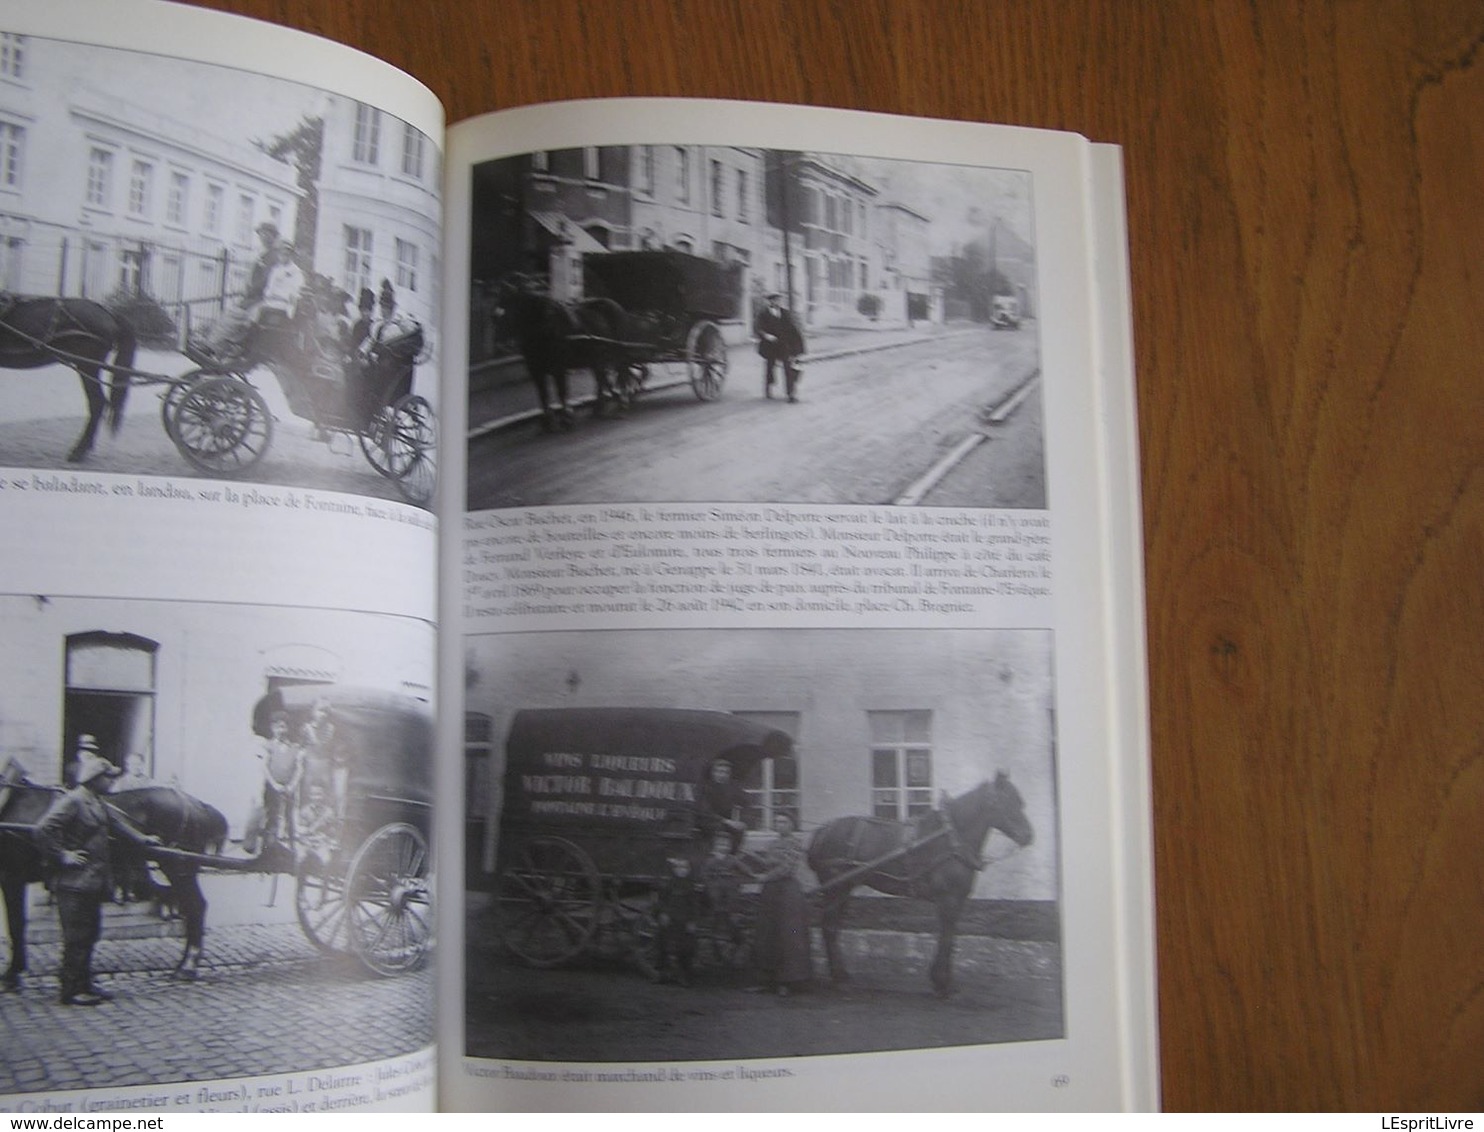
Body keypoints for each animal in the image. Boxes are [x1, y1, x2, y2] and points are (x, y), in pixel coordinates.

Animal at [0, 759, 228, 991]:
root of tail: (197, 804)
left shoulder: (12, 876)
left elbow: (16, 924)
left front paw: (12, 975)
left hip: (178, 865)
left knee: (196, 906)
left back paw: (187, 967)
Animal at [486, 277, 626, 430]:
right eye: (493, 316)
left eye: (509, 314)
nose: (500, 345)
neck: (544, 327)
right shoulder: (535, 370)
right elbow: (543, 394)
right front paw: (548, 422)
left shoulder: (559, 368)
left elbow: (561, 391)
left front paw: (566, 418)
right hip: (596, 358)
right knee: (601, 379)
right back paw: (599, 407)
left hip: (611, 354)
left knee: (612, 375)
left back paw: (617, 401)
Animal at [807, 777, 1038, 996]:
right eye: (1005, 802)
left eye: (1020, 801)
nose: (1028, 835)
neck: (951, 838)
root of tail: (823, 830)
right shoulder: (948, 899)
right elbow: (945, 936)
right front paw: (941, 982)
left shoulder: (957, 900)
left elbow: (951, 936)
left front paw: (944, 981)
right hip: (836, 889)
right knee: (829, 927)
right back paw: (839, 979)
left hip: (844, 889)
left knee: (833, 927)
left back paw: (841, 975)